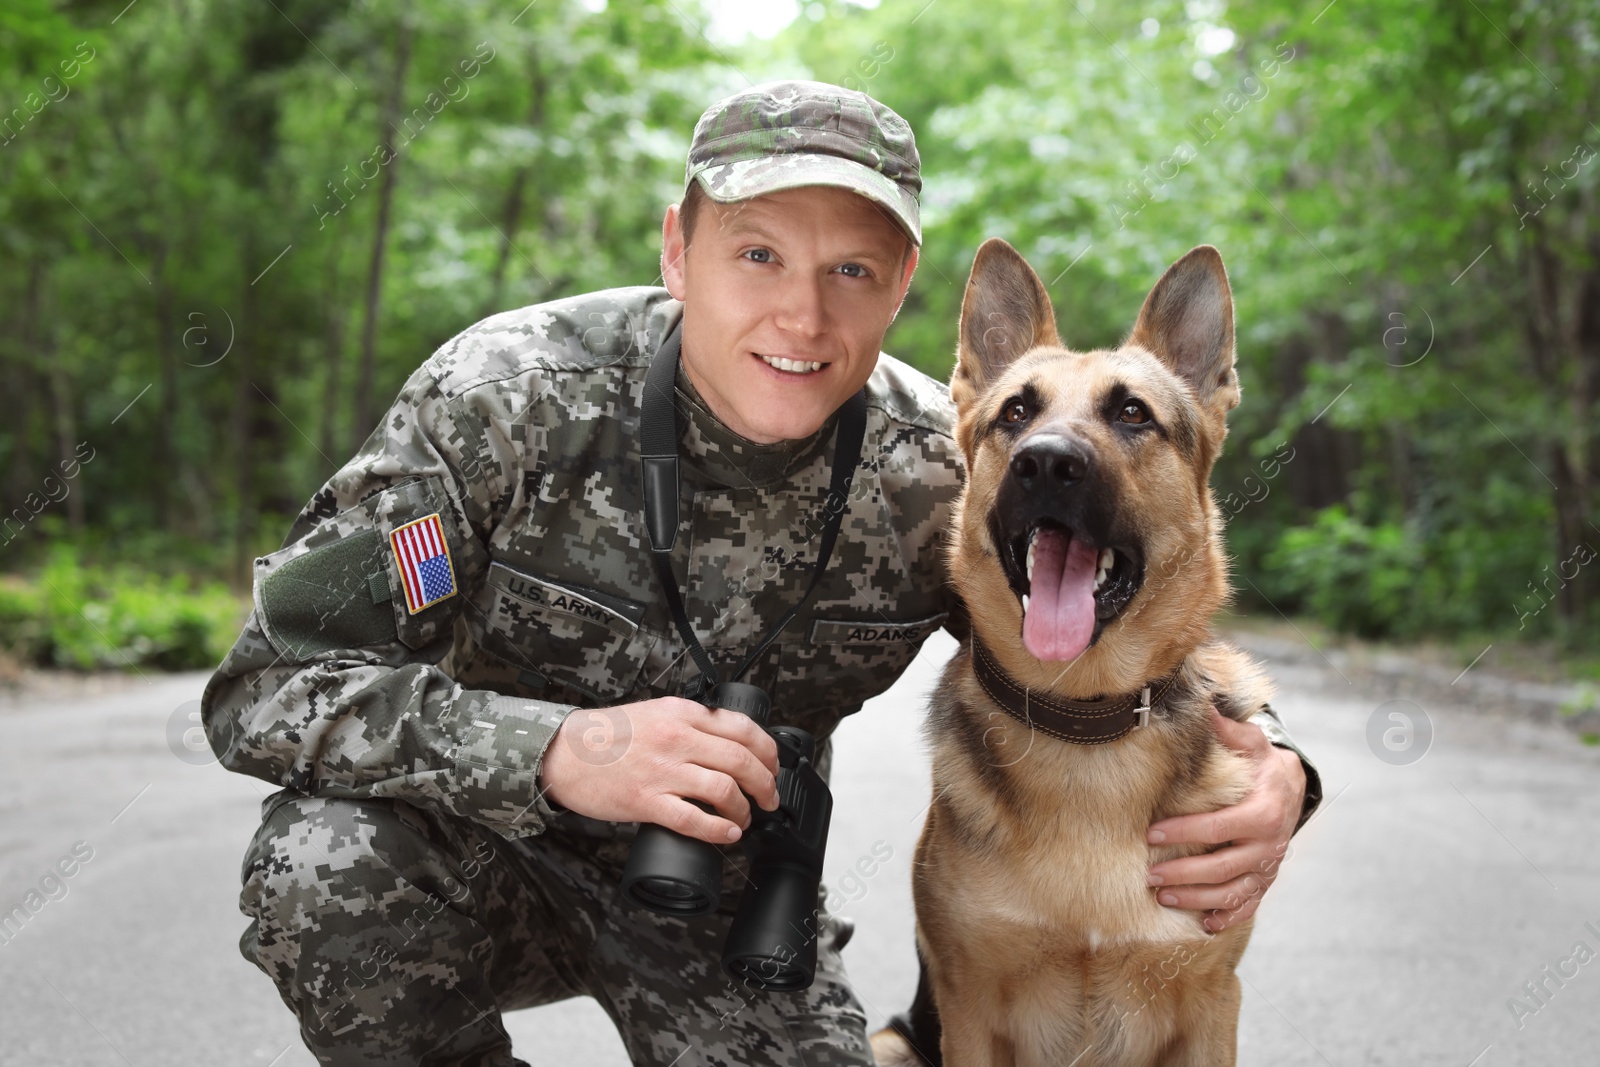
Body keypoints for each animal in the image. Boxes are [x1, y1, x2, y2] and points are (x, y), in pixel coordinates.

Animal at [870, 241, 1267, 1067]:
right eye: (1016, 412)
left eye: (1132, 413)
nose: (1046, 462)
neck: (1083, 721)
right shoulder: (969, 1010)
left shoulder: (1214, 1005)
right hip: (890, 1042)